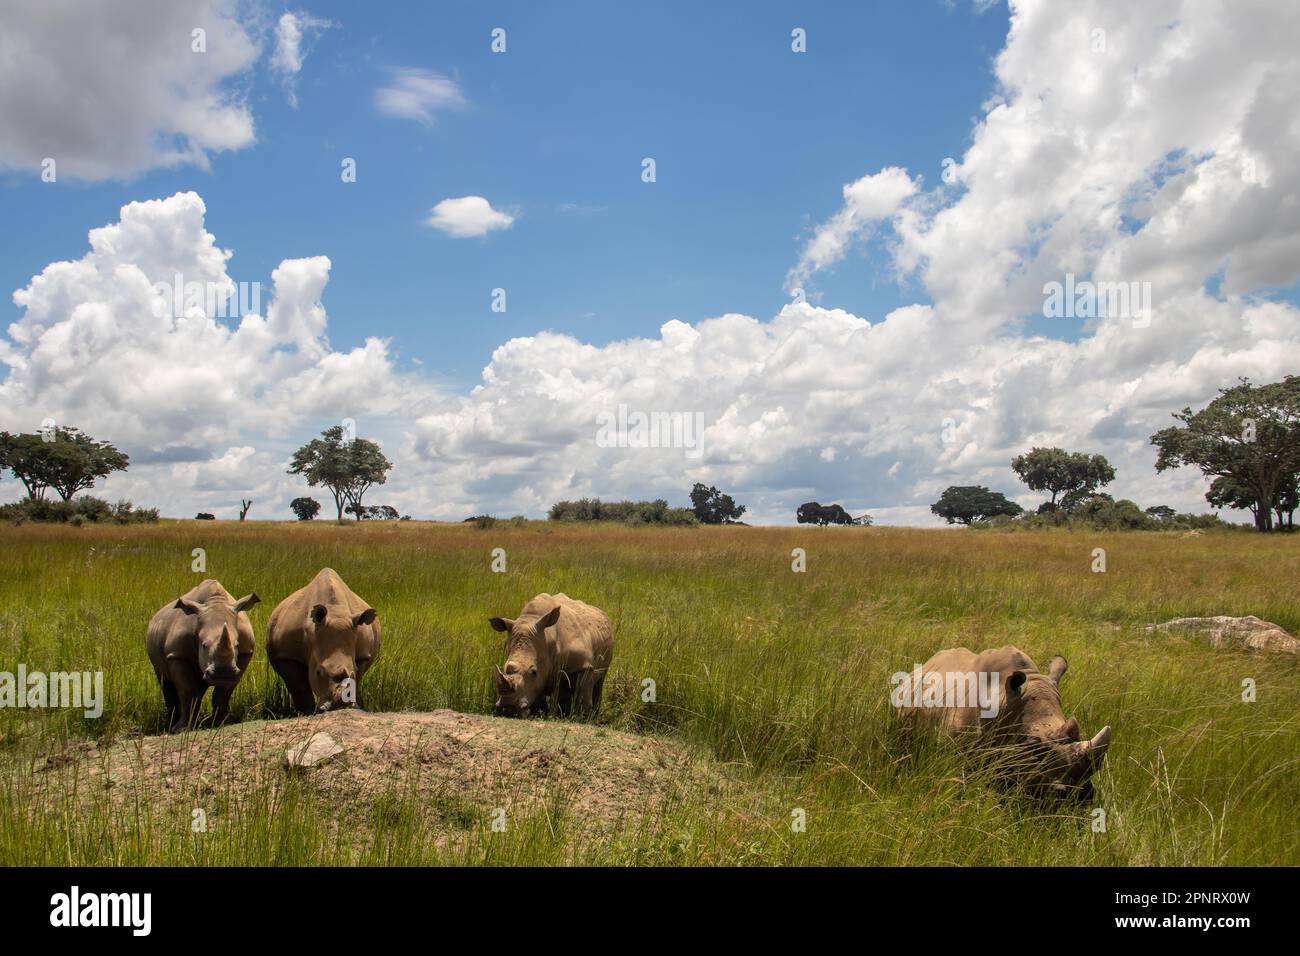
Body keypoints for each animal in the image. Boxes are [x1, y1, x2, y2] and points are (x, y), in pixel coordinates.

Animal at [147, 574, 258, 733]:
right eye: (204, 645)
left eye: (237, 645)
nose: (223, 674)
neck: (216, 602)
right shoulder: (178, 654)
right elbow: (187, 690)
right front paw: (182, 729)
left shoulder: (245, 653)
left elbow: (224, 691)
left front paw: (224, 722)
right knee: (165, 681)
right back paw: (171, 725)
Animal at [266, 564, 379, 712]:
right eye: (318, 672)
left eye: (354, 670)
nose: (339, 706)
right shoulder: (286, 654)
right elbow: (299, 687)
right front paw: (306, 711)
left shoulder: (363, 655)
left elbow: (357, 679)